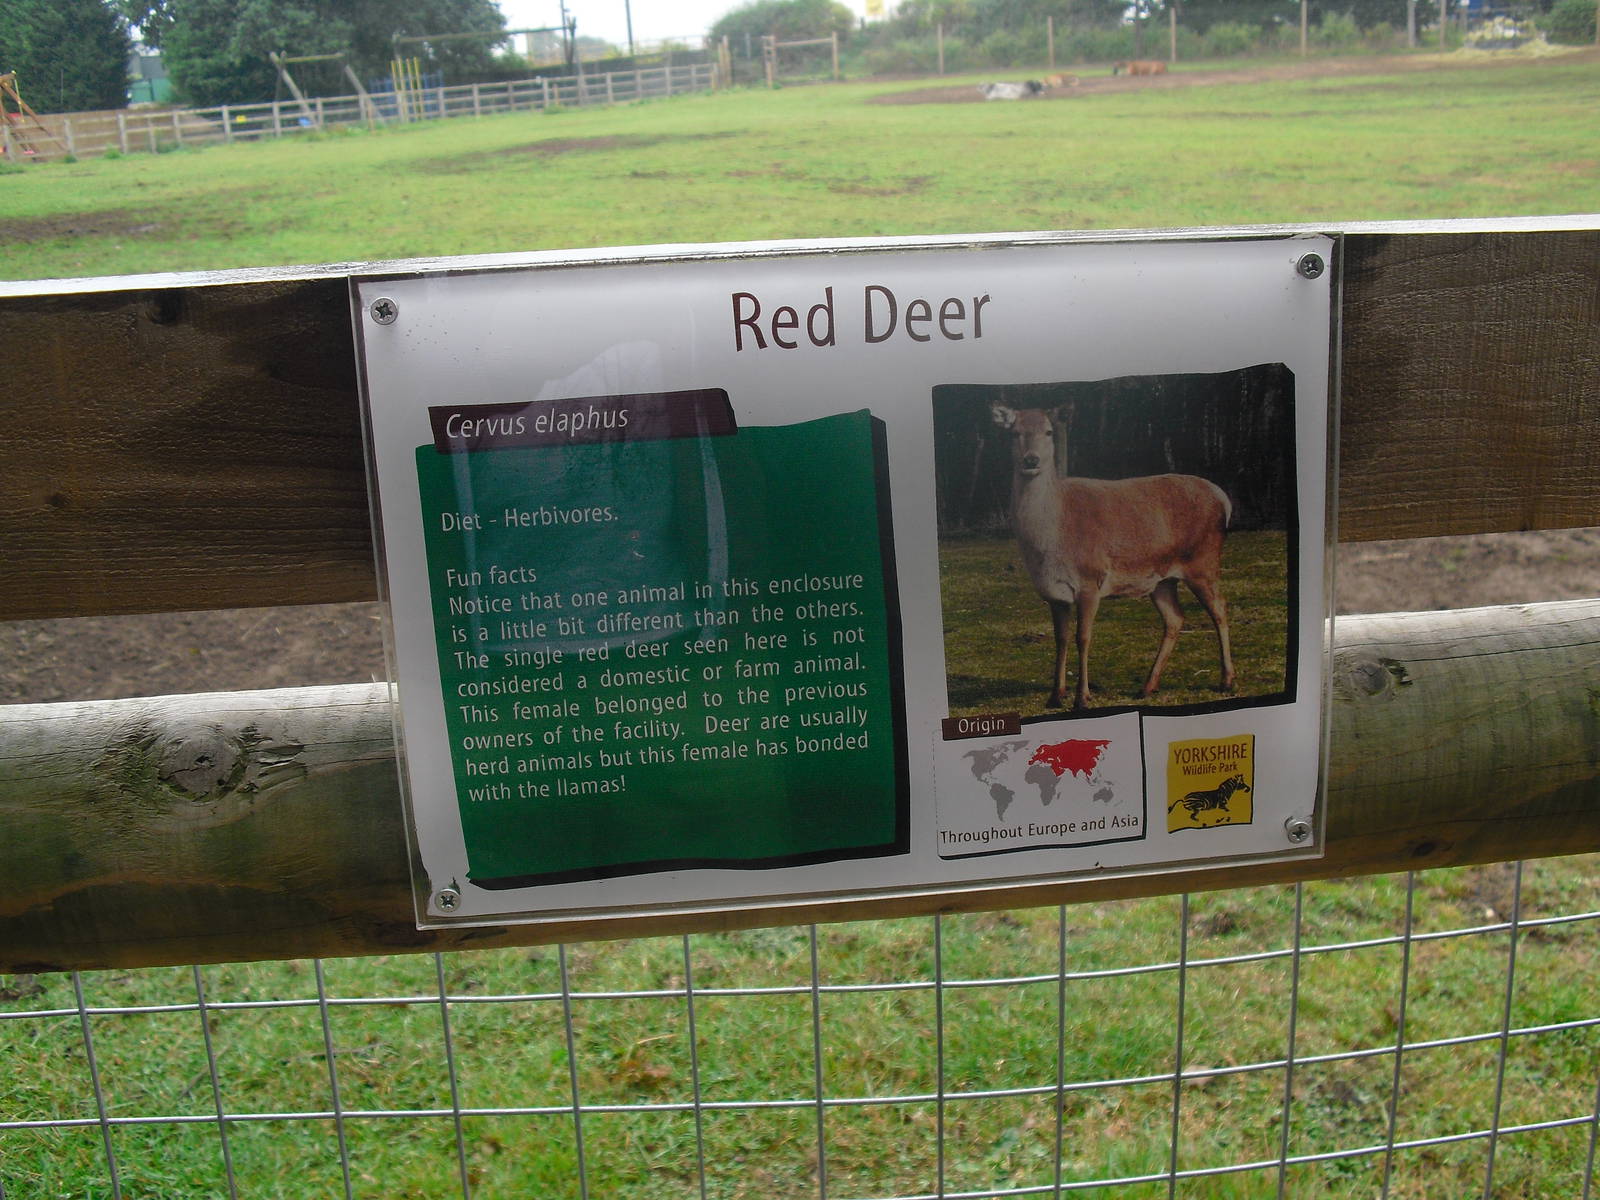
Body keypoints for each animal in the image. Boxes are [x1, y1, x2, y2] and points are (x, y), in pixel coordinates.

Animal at [989, 403, 1234, 710]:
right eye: (1014, 432)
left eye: (1048, 432)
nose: (1031, 459)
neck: (1049, 544)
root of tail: (1225, 499)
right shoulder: (1053, 592)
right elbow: (1060, 639)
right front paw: (1055, 696)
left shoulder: (1090, 579)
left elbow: (1083, 637)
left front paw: (1082, 697)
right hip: (1161, 579)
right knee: (1175, 618)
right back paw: (1147, 686)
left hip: (1203, 561)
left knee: (1220, 608)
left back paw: (1227, 681)